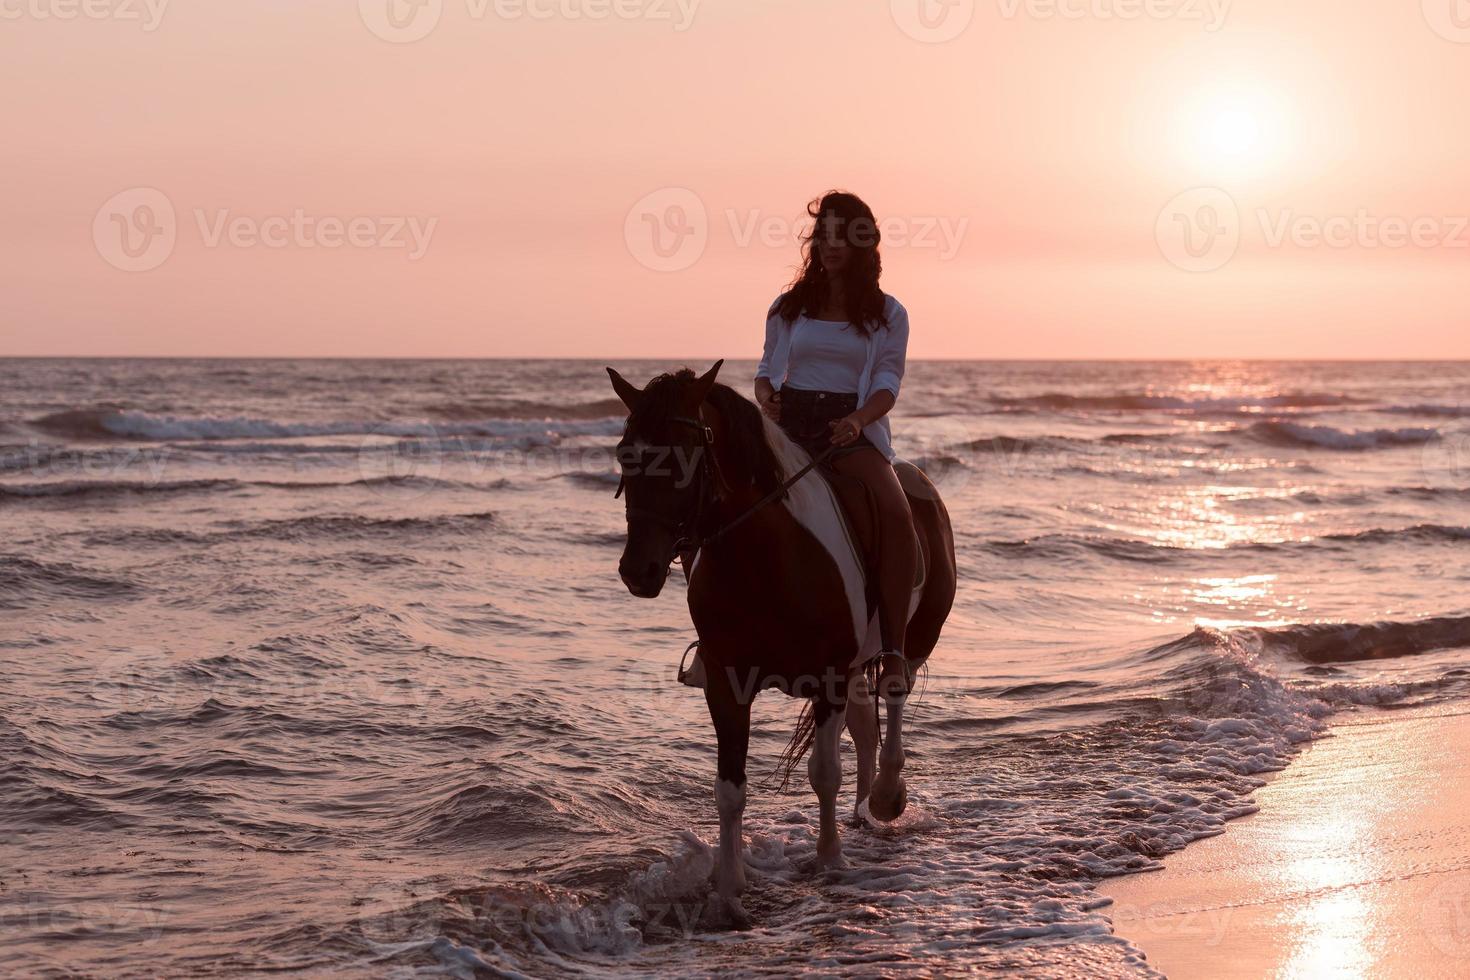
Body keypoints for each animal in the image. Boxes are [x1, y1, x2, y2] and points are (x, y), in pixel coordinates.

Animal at [605, 362, 958, 928]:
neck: (767, 559)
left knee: (894, 696)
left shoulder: (829, 677)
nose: (639, 570)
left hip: (914, 638)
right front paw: (729, 894)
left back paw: (885, 797)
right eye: (624, 454)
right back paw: (863, 811)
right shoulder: (727, 684)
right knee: (865, 725)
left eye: (685, 457)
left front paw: (830, 861)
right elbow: (730, 790)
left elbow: (824, 772)